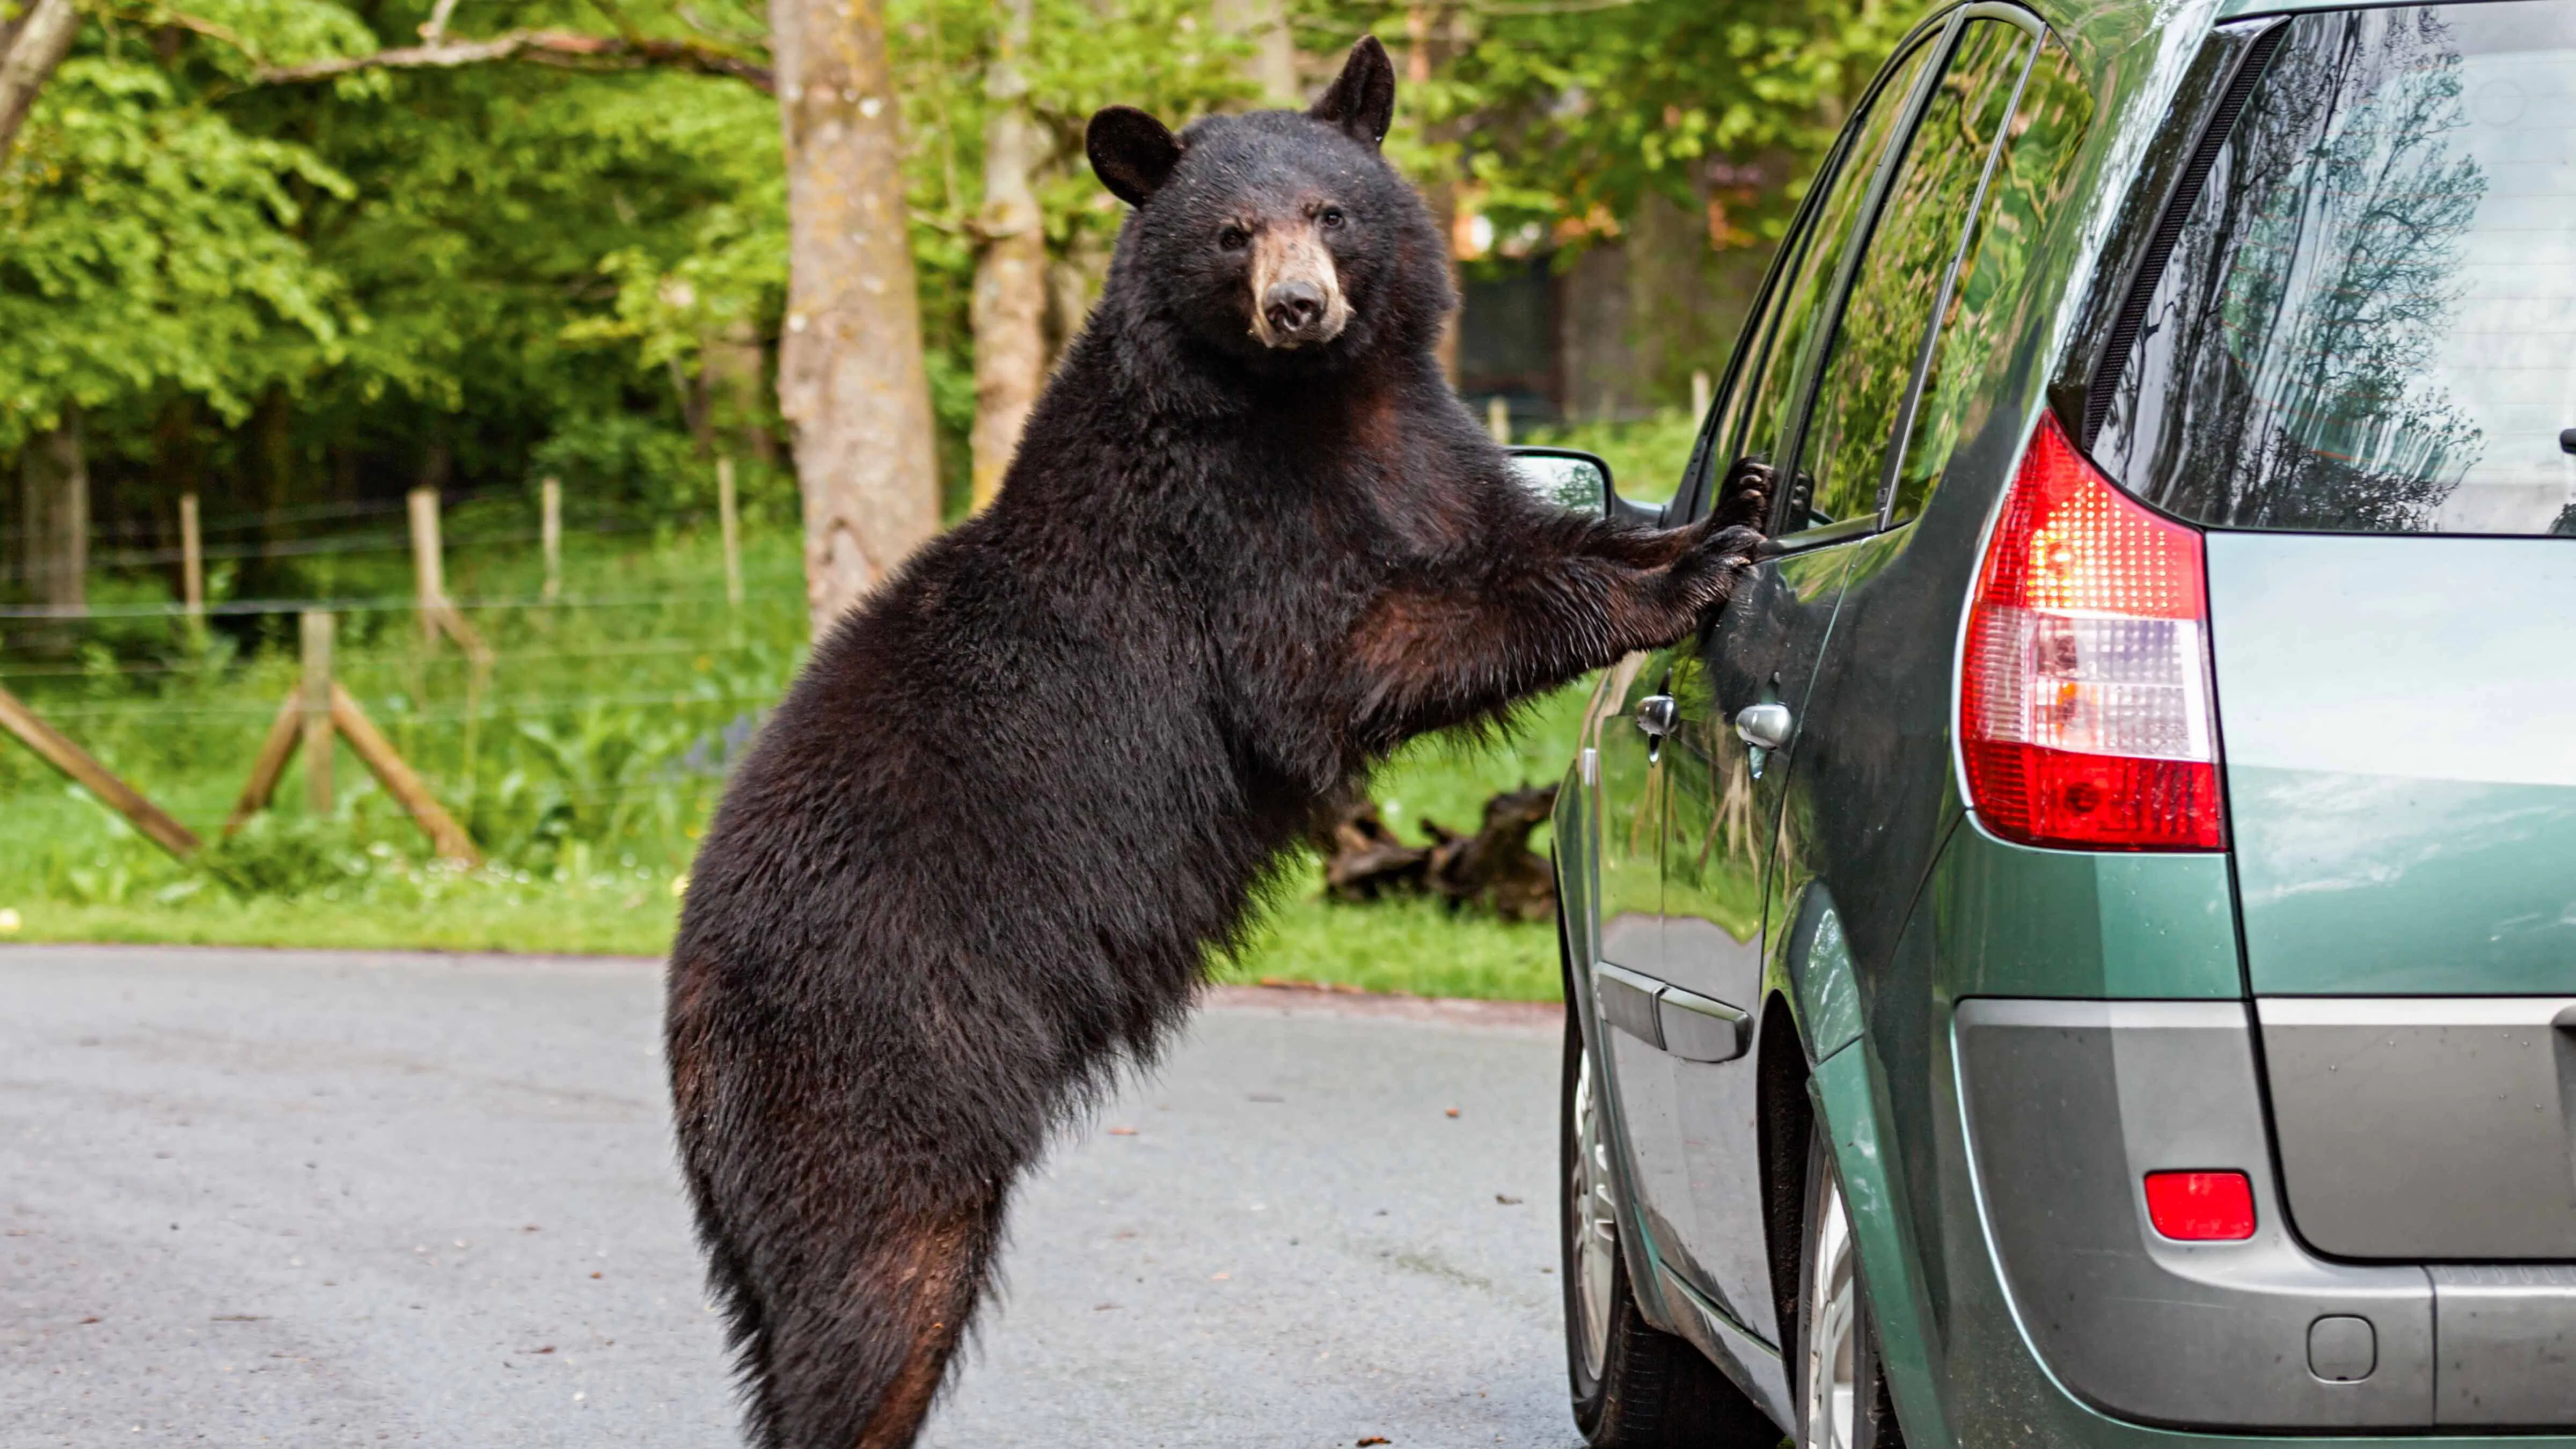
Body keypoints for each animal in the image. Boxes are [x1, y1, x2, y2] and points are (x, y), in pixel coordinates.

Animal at [664, 36, 1770, 1449]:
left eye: (1330, 211)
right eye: (1233, 232)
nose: (1298, 306)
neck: (1314, 402)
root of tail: (688, 998)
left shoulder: (1427, 452)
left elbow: (1521, 532)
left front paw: (1725, 505)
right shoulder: (1223, 529)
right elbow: (1358, 647)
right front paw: (1691, 572)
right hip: (871, 1058)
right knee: (869, 1287)